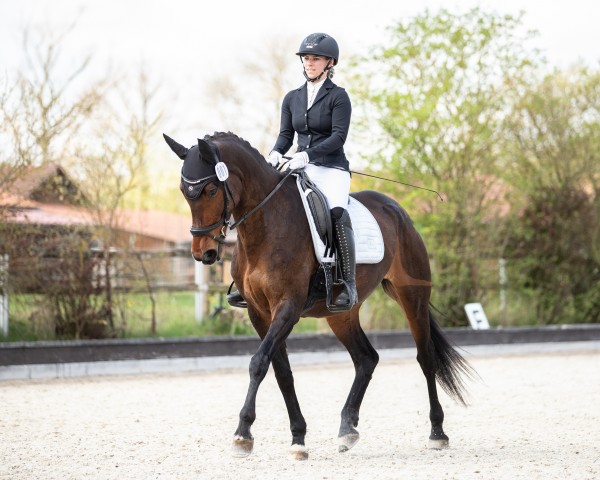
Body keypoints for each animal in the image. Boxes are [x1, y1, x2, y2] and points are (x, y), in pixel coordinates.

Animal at [164, 132, 474, 462]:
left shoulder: (288, 307)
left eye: (211, 189)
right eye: (184, 191)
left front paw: (243, 434)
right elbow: (281, 371)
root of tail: (396, 209)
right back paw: (347, 430)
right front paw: (298, 438)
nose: (204, 253)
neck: (265, 226)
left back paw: (437, 432)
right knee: (366, 358)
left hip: (412, 295)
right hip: (340, 313)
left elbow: (259, 362)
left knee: (425, 357)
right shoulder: (259, 312)